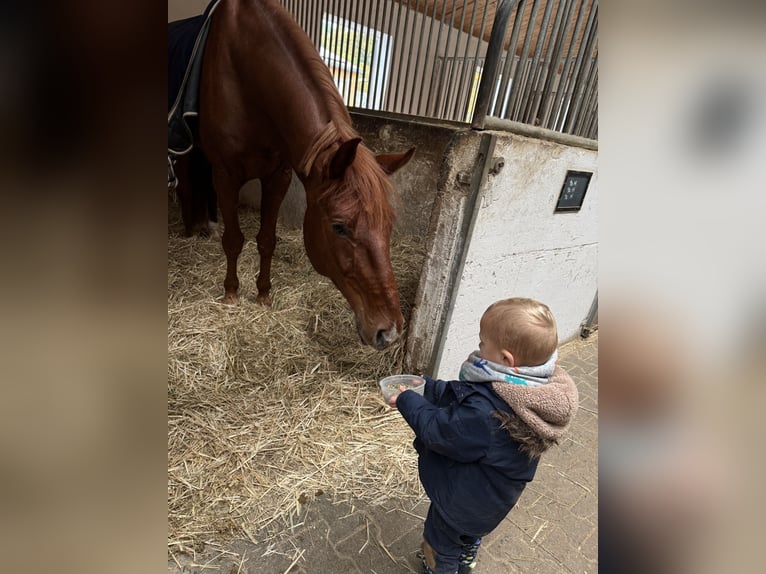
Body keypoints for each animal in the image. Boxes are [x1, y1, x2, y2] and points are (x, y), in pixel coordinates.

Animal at [196, 0, 414, 352]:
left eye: (389, 224)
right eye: (339, 227)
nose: (389, 332)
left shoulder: (279, 177)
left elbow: (266, 240)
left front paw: (263, 295)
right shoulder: (225, 175)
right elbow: (234, 240)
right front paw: (231, 294)